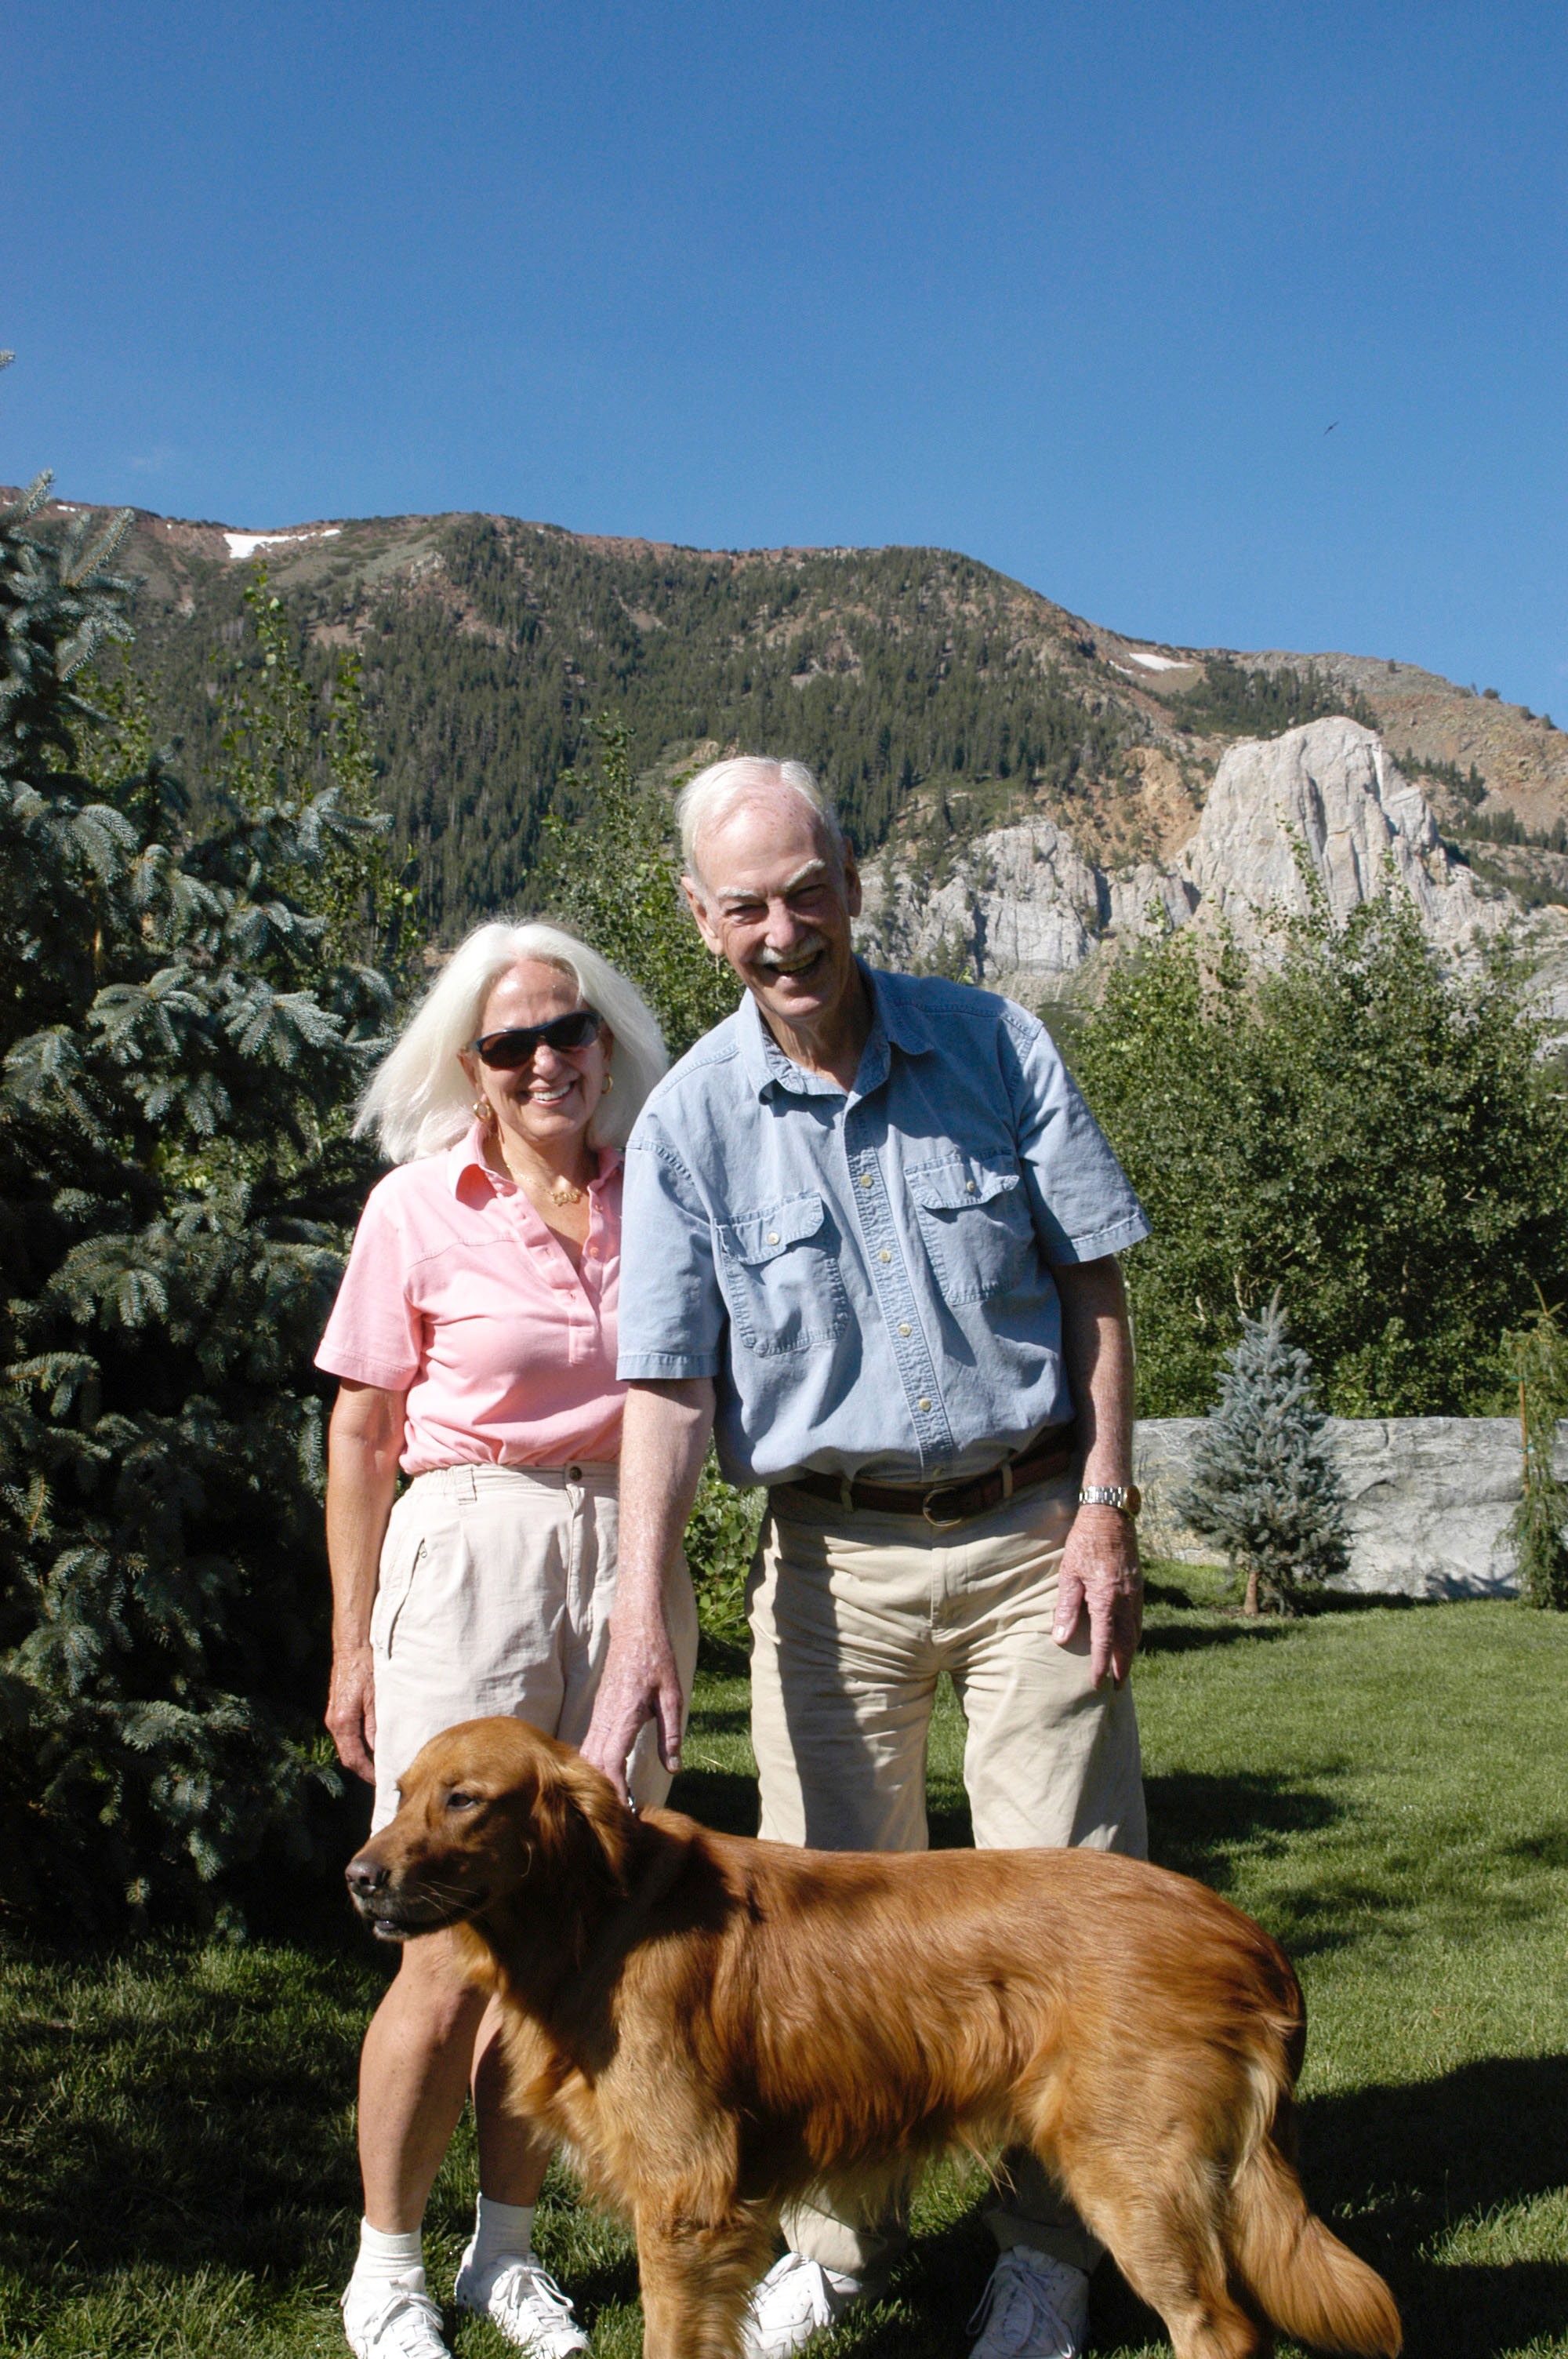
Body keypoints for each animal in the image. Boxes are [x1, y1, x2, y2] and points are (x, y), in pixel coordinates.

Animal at [347, 1716, 1401, 2359]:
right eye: (399, 1792)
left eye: (465, 1798)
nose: (359, 1875)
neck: (594, 1915)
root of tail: (1246, 1933)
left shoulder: (687, 2200)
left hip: (1132, 2174)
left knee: (1220, 2326)